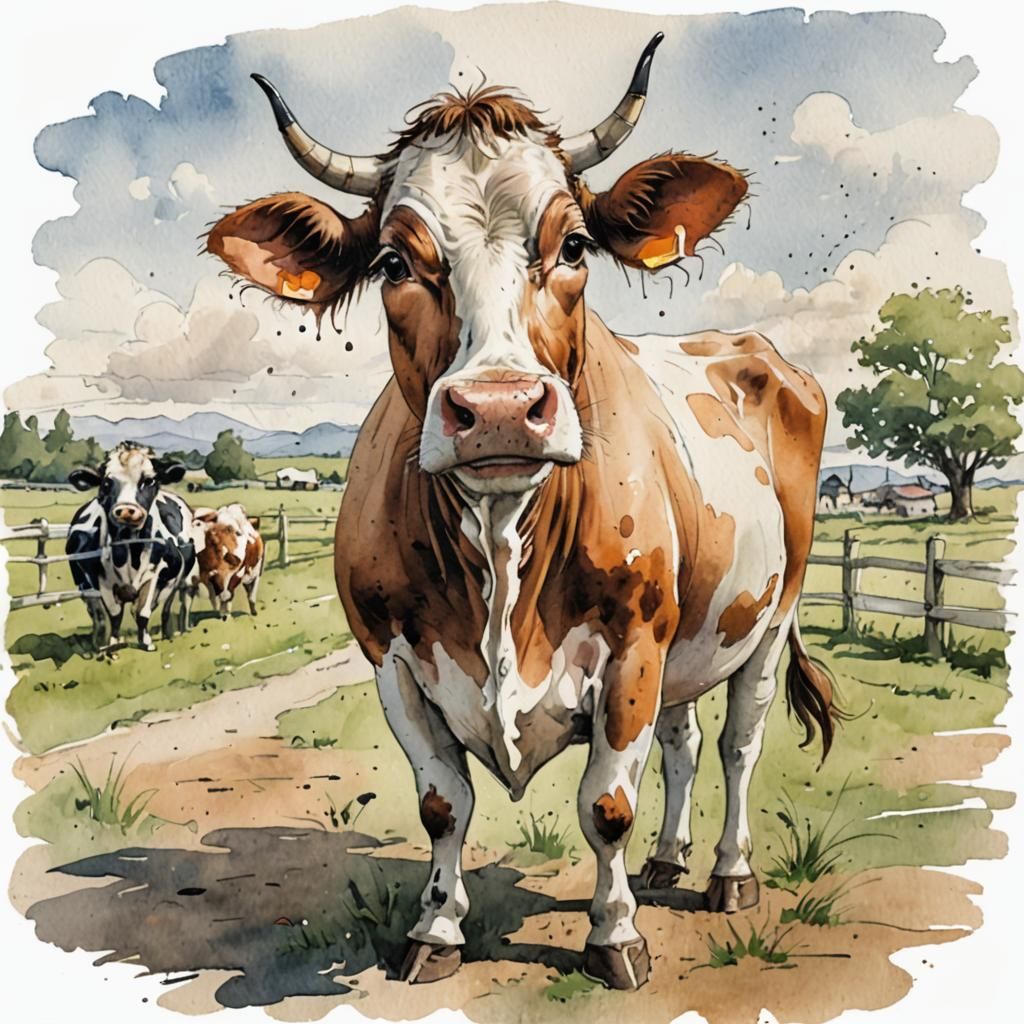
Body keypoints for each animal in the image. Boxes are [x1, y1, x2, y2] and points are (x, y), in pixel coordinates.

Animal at [67, 442, 200, 653]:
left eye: (149, 480)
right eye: (106, 483)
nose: (126, 510)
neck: (128, 550)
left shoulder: (154, 575)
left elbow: (142, 612)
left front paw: (145, 642)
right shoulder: (102, 581)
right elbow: (114, 615)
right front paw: (113, 643)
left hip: (180, 580)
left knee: (168, 606)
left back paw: (169, 634)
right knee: (97, 614)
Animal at [205, 33, 838, 991]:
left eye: (574, 244)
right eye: (393, 263)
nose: (500, 407)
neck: (503, 553)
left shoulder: (633, 646)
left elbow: (606, 803)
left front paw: (614, 938)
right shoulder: (393, 660)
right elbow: (443, 802)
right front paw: (436, 930)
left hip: (770, 615)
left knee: (738, 743)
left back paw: (728, 874)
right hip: (691, 629)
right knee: (686, 741)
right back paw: (669, 861)